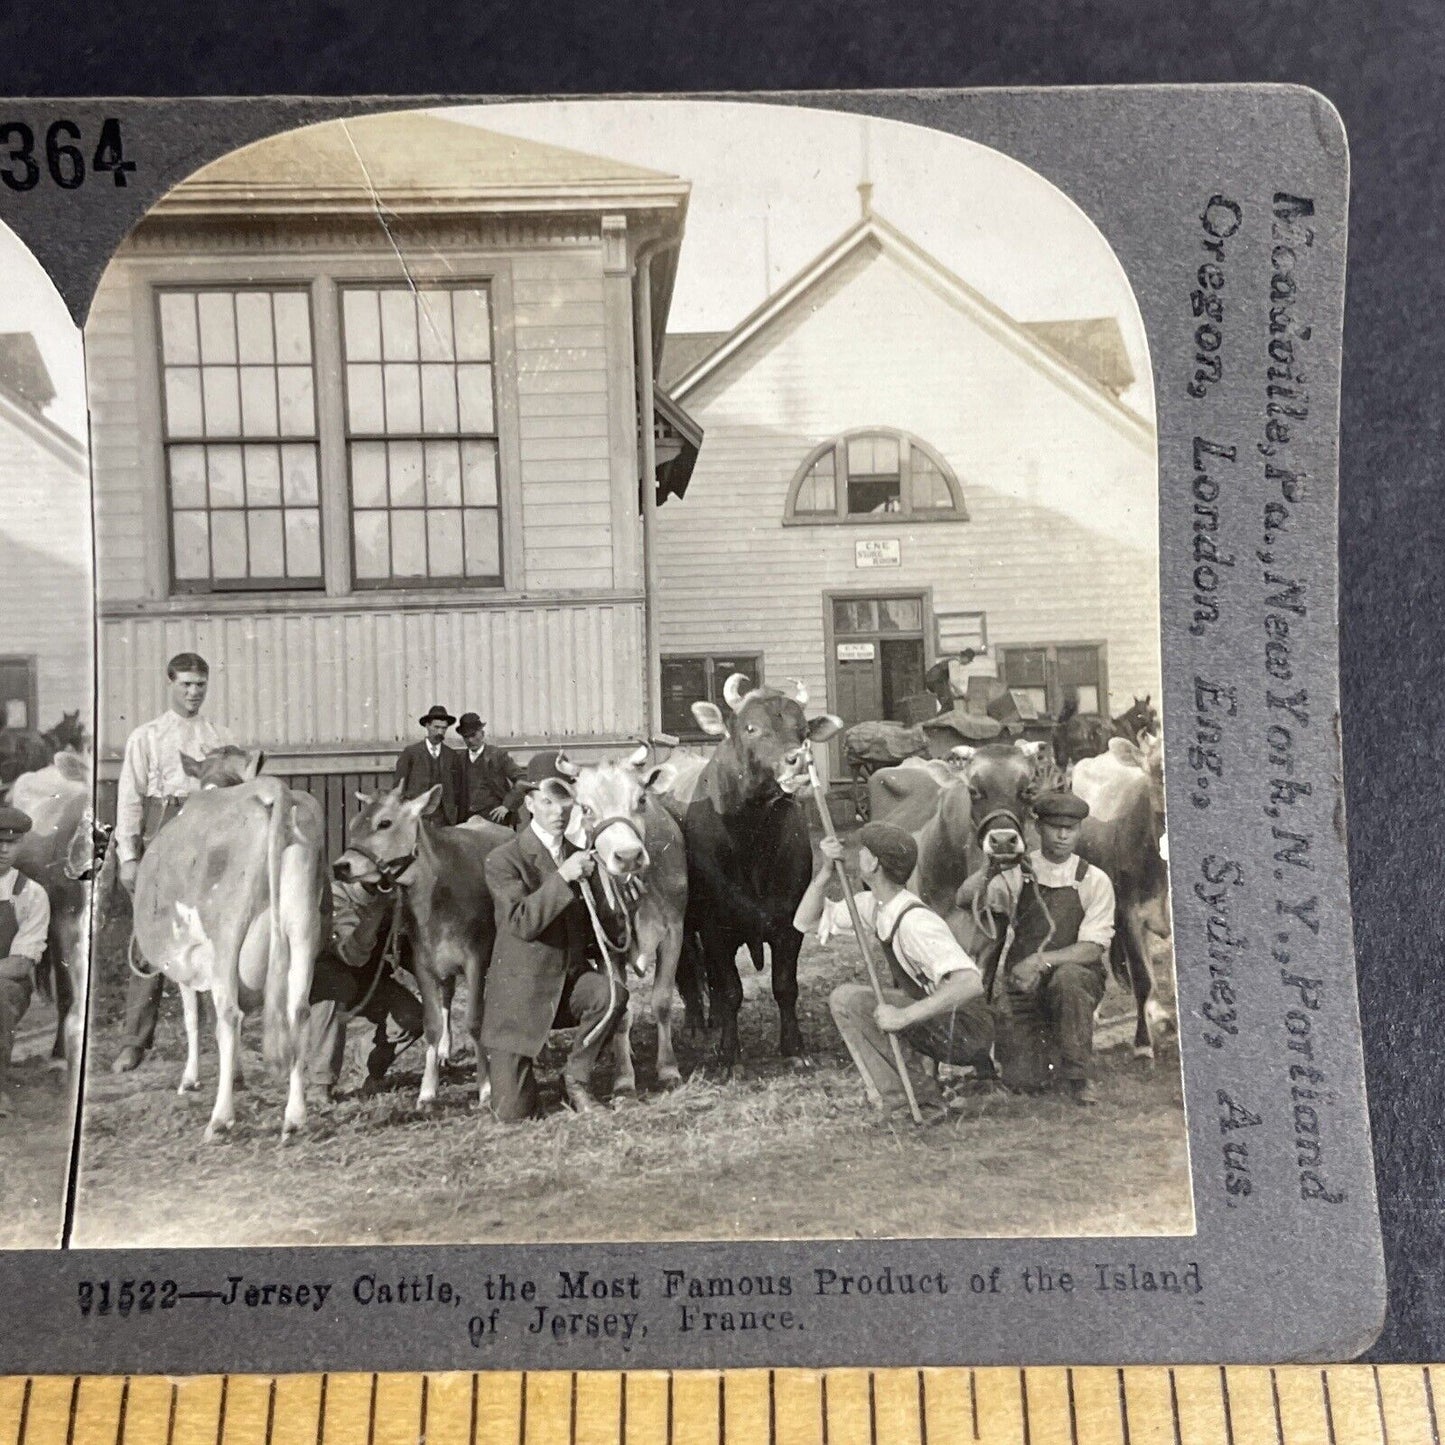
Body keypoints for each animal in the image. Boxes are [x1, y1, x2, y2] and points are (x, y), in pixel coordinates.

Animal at [131, 745, 326, 1138]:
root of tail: (272, 790)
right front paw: (235, 1075)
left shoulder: (186, 959)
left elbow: (194, 1017)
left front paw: (191, 1079)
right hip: (302, 930)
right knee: (298, 1009)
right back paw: (294, 1117)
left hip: (226, 937)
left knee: (229, 1015)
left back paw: (220, 1119)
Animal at [330, 780, 511, 1103]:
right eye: (352, 824)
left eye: (384, 823)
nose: (341, 866)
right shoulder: (423, 962)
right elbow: (431, 1024)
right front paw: (427, 1090)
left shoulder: (476, 958)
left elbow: (475, 1021)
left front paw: (486, 1087)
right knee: (448, 996)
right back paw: (444, 1051)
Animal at [557, 745, 687, 1086]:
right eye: (585, 808)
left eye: (641, 800)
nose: (628, 856)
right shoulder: (607, 947)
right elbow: (621, 1010)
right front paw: (624, 1078)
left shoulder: (674, 931)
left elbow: (662, 1002)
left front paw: (668, 1068)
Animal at [661, 673, 843, 1075]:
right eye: (751, 727)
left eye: (802, 729)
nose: (798, 761)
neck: (753, 841)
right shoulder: (715, 928)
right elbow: (731, 990)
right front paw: (730, 1056)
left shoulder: (789, 924)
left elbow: (785, 986)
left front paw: (794, 1048)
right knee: (688, 967)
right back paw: (696, 1025)